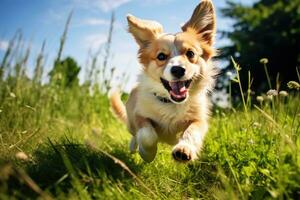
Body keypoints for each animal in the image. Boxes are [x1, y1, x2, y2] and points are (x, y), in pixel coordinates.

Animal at [110, 0, 218, 162]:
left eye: (190, 54)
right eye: (161, 56)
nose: (178, 69)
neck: (171, 103)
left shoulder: (199, 120)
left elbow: (192, 131)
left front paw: (184, 149)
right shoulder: (139, 116)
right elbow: (147, 135)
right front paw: (147, 154)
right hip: (130, 122)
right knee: (134, 134)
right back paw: (133, 146)